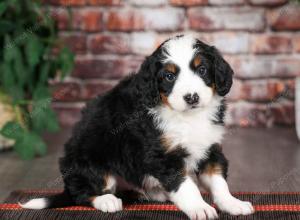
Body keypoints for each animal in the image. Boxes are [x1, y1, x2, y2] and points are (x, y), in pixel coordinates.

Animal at [19, 35, 253, 219]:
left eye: (202, 69)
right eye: (169, 76)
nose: (192, 97)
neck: (188, 118)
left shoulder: (210, 148)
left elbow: (219, 182)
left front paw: (232, 203)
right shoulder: (162, 156)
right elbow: (185, 186)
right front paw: (199, 208)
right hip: (90, 160)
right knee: (81, 193)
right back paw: (106, 200)